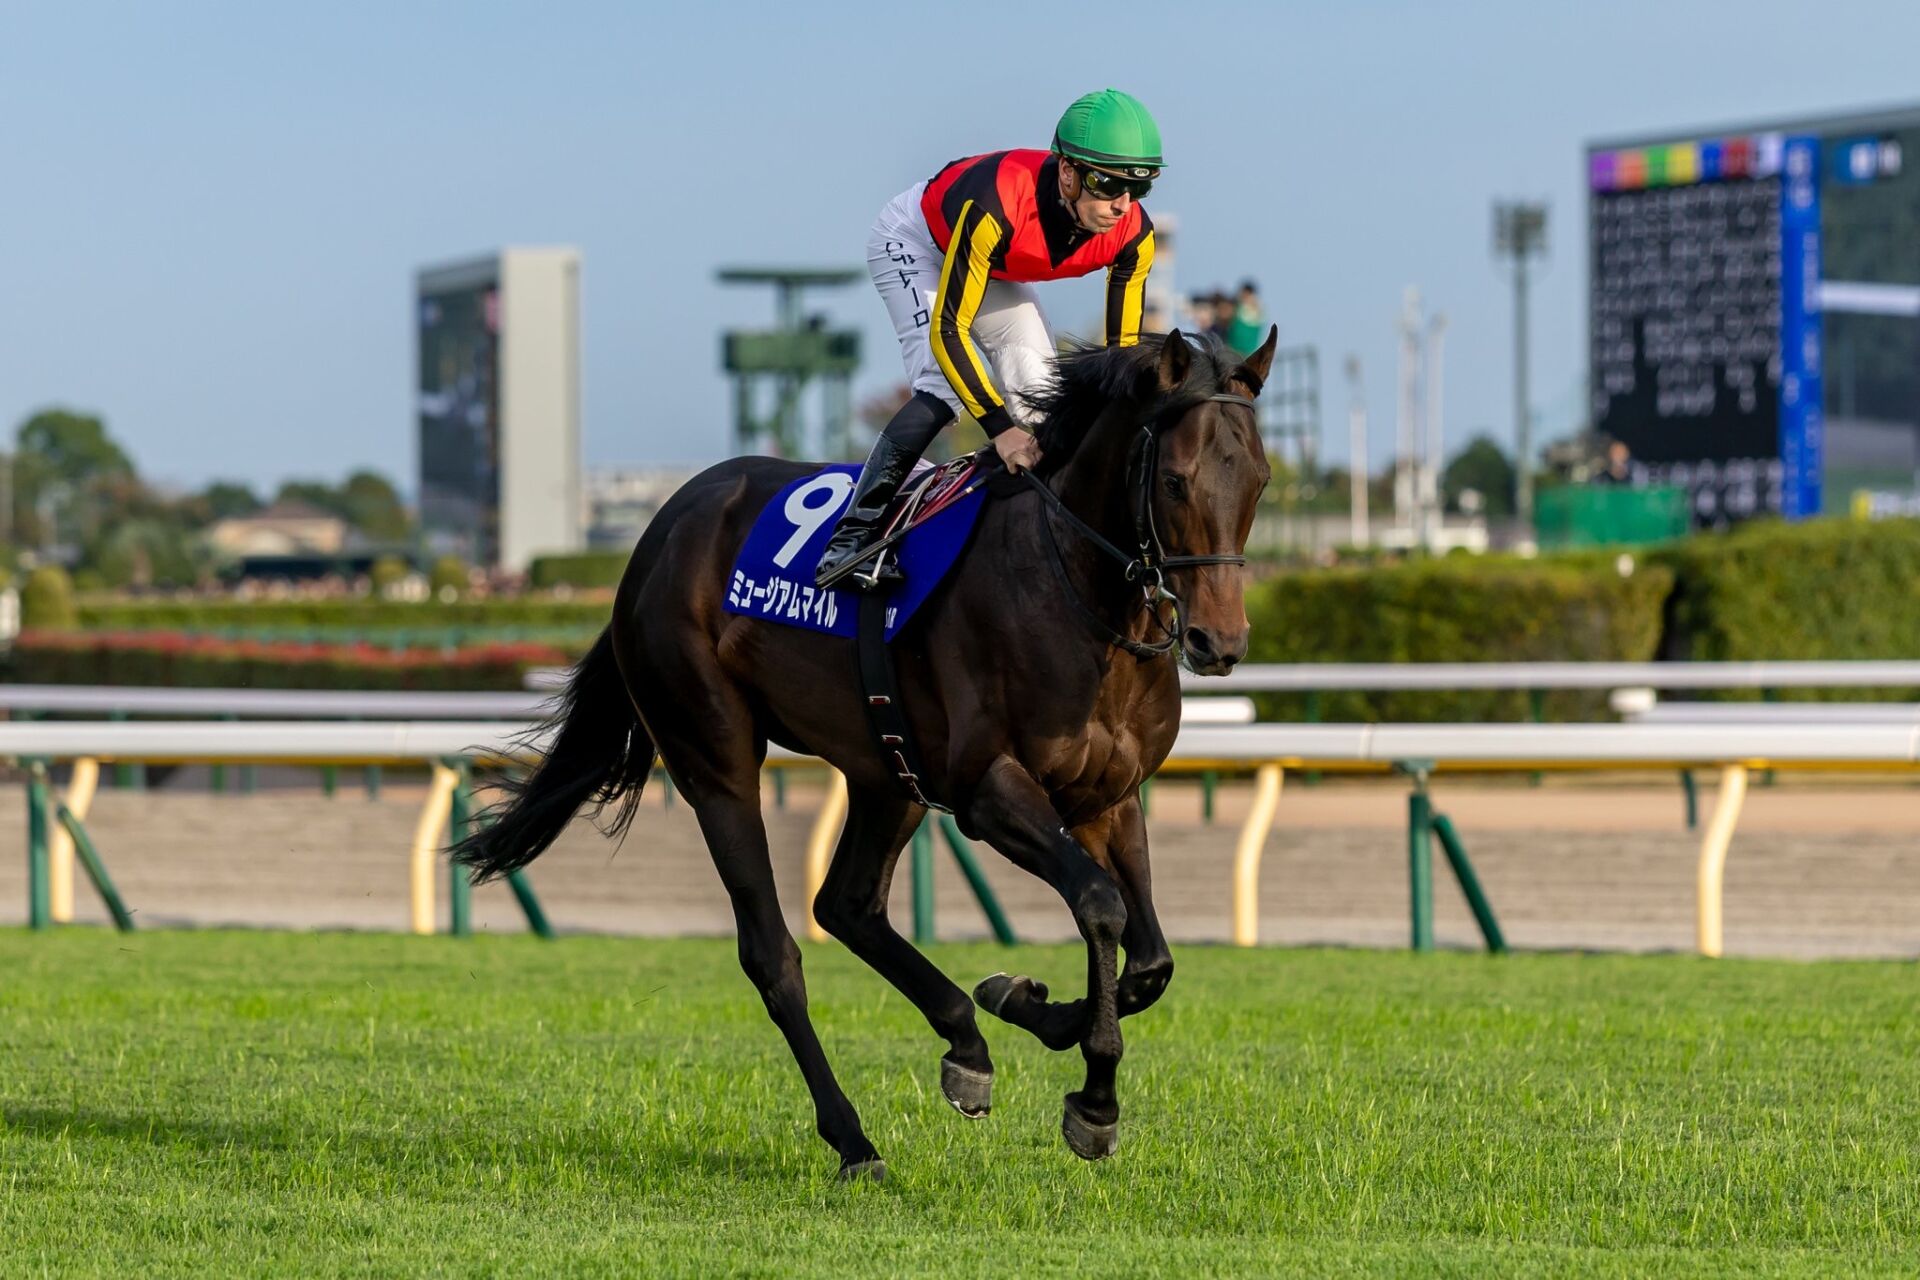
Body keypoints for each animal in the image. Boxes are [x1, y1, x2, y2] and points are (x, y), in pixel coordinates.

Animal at [454, 327, 1276, 1180]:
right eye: (1176, 481)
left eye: (1260, 480)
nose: (1219, 641)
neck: (1077, 596)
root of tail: (659, 531)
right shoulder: (988, 790)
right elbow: (1101, 906)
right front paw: (1093, 1096)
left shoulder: (1108, 796)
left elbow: (1147, 957)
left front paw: (1038, 1011)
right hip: (713, 756)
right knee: (774, 953)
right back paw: (853, 1138)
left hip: (889, 770)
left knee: (845, 904)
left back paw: (966, 1040)